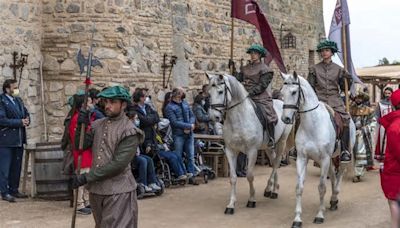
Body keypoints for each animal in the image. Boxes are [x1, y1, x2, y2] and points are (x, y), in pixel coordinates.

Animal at [206, 72, 290, 214]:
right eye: (209, 93)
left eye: (221, 91)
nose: (214, 117)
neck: (239, 118)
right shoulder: (230, 151)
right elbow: (233, 177)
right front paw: (231, 205)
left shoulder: (252, 151)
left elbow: (250, 175)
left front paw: (251, 199)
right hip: (268, 147)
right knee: (273, 161)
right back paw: (273, 188)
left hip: (281, 142)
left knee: (276, 163)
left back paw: (271, 190)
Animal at [280, 72, 354, 227]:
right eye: (282, 92)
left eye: (294, 92)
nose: (286, 118)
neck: (313, 124)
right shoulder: (302, 158)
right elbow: (299, 187)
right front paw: (297, 218)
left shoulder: (324, 159)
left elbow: (321, 187)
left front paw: (319, 215)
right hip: (329, 159)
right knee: (333, 176)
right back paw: (333, 201)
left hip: (340, 157)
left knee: (339, 175)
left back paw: (335, 196)